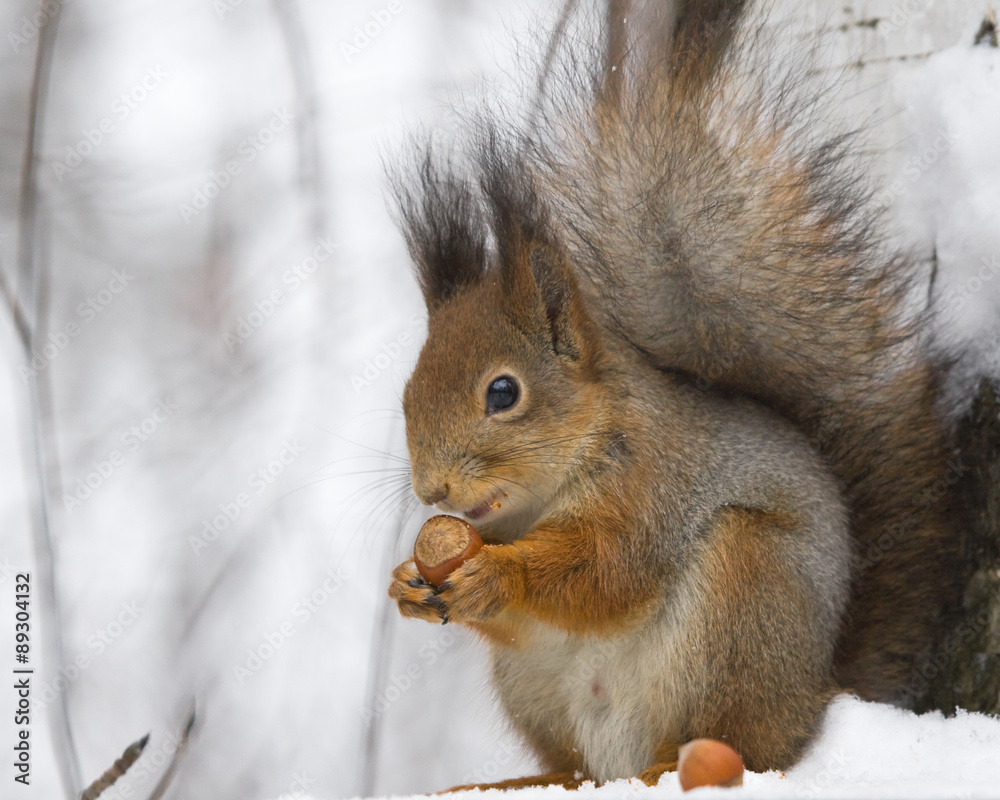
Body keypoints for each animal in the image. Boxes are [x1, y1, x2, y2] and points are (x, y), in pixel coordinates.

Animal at [387, 0, 963, 789]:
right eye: (407, 393)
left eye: (502, 392)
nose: (431, 489)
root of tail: (815, 693)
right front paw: (407, 584)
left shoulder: (654, 485)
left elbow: (605, 572)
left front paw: (498, 574)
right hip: (535, 687)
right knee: (580, 767)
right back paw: (521, 781)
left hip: (744, 597)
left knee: (736, 743)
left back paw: (669, 764)